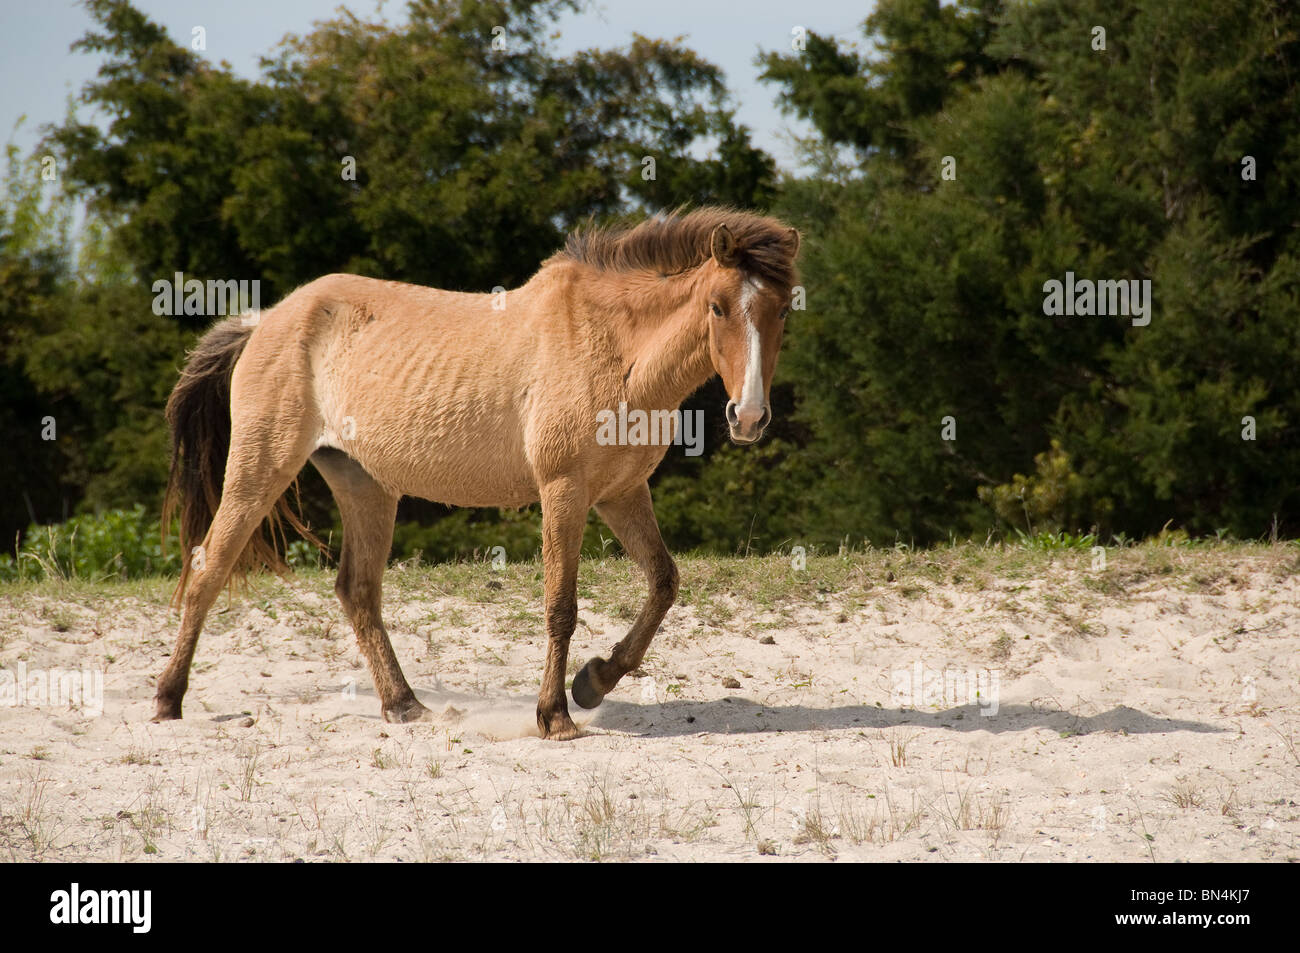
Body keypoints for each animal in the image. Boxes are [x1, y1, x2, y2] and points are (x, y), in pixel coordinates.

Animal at [156, 207, 800, 740]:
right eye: (717, 307)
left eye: (781, 312)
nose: (747, 417)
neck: (616, 347)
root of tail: (266, 319)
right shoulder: (564, 491)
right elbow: (561, 605)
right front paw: (556, 716)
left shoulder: (620, 494)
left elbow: (664, 582)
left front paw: (594, 681)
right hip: (261, 466)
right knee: (210, 565)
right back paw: (168, 699)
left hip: (365, 485)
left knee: (357, 591)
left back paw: (404, 705)